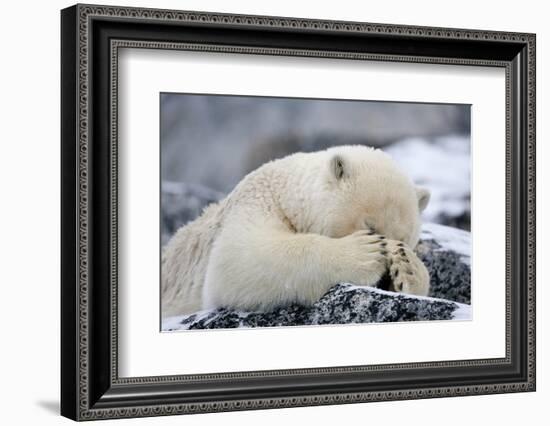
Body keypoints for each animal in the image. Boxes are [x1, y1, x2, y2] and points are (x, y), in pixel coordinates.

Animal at [162, 145, 434, 318]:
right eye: (370, 226)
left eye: (404, 238)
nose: (387, 278)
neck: (283, 190)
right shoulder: (254, 203)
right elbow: (238, 259)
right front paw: (366, 252)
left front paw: (408, 268)